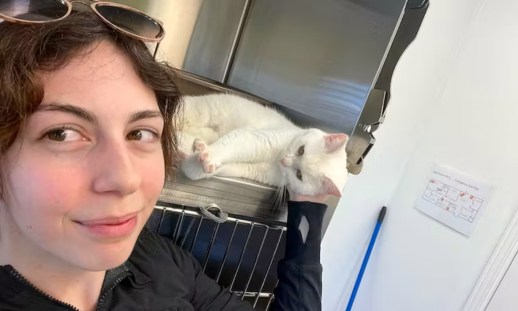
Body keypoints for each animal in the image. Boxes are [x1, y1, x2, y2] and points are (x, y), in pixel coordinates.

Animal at [179, 94, 350, 199]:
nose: (284, 160)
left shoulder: (250, 170)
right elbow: (228, 147)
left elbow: (222, 168)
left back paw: (196, 144)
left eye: (299, 175)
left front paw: (194, 165)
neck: (275, 160)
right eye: (301, 150)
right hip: (200, 114)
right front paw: (207, 157)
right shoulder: (257, 139)